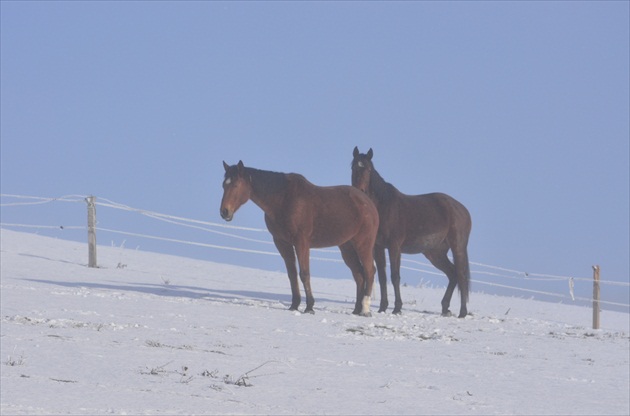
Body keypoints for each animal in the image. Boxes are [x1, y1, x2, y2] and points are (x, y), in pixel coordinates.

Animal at [221, 161, 380, 316]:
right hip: (347, 248)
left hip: (363, 244)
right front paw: (294, 306)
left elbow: (304, 274)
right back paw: (357, 309)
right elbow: (292, 275)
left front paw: (309, 307)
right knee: (359, 275)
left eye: (236, 185)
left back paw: (365, 309)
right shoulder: (282, 243)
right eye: (223, 185)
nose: (224, 211)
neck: (283, 199)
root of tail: (369, 204)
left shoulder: (301, 242)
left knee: (369, 271)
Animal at [354, 148, 472, 316]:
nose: (360, 191)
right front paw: (383, 307)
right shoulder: (378, 248)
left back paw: (462, 312)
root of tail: (462, 209)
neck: (383, 206)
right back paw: (445, 308)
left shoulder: (394, 247)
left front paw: (397, 308)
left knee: (461, 276)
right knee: (453, 274)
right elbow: (382, 277)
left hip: (458, 248)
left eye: (369, 169)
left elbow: (395, 276)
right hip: (435, 253)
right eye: (353, 167)